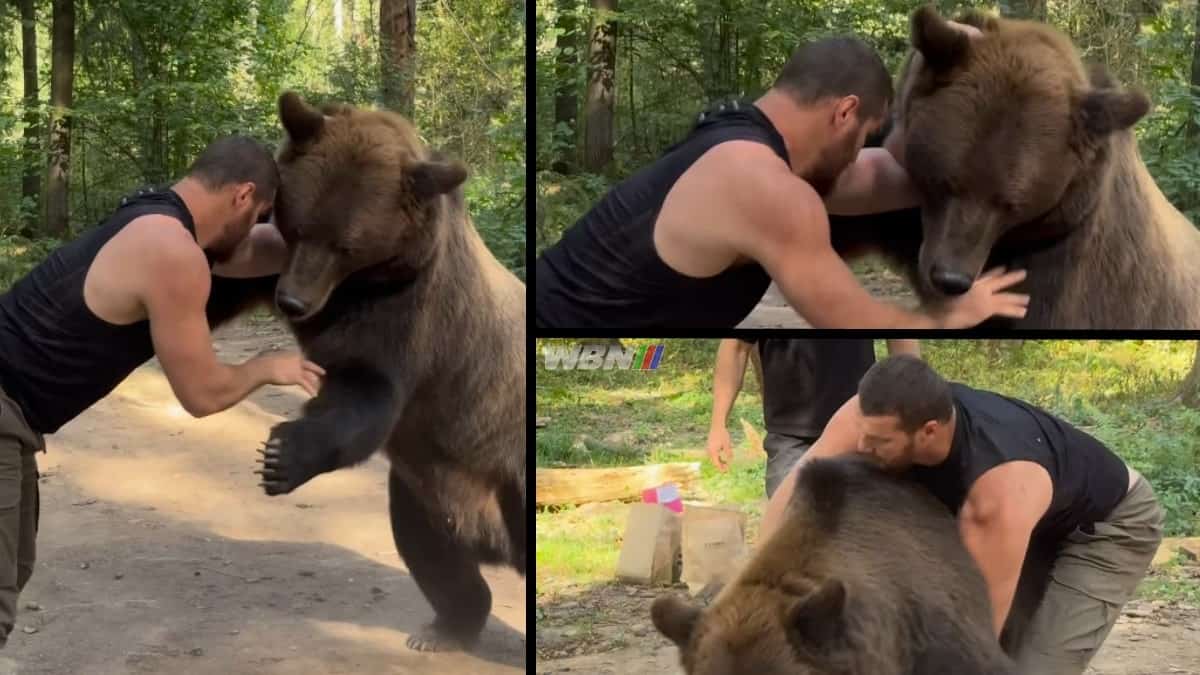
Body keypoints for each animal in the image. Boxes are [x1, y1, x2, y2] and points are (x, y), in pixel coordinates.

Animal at [253, 91, 525, 648]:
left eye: (347, 244)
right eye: (299, 223)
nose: (293, 302)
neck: (355, 288)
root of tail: (492, 537)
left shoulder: (412, 314)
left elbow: (367, 392)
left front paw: (281, 456)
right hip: (426, 489)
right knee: (430, 549)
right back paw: (446, 626)